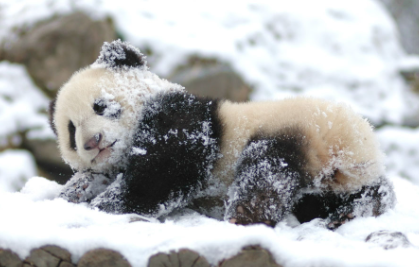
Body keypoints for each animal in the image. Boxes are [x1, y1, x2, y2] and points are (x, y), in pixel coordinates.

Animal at [50, 39, 398, 230]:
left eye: (101, 106)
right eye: (71, 131)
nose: (92, 143)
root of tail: (363, 149)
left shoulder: (183, 120)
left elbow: (164, 175)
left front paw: (104, 205)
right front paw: (77, 191)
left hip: (305, 132)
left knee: (267, 171)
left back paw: (244, 216)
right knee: (340, 197)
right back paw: (354, 210)